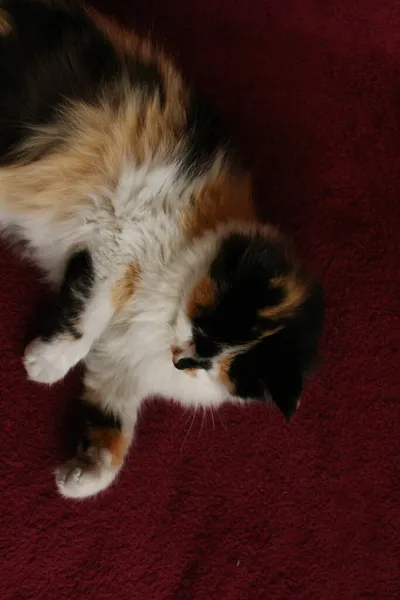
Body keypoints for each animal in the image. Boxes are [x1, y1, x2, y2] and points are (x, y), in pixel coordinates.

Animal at [0, 0, 324, 496]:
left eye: (211, 368)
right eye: (207, 330)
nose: (183, 359)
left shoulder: (121, 366)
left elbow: (114, 425)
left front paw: (81, 479)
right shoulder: (117, 241)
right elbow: (88, 319)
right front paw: (46, 364)